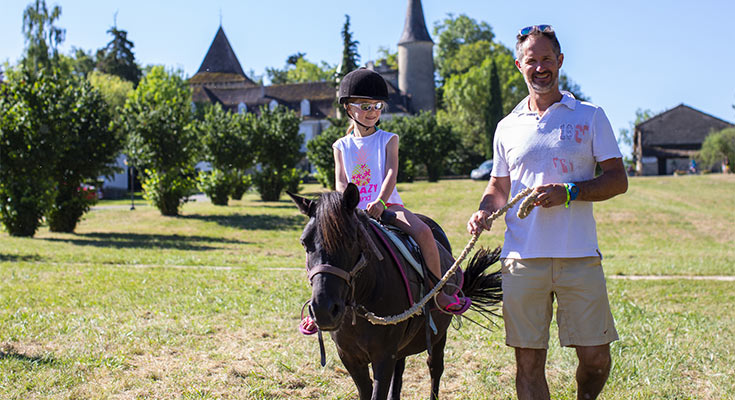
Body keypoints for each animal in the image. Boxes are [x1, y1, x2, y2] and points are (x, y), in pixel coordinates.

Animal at [290, 184, 504, 400]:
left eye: (350, 241)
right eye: (304, 242)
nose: (324, 310)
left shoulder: (384, 356)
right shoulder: (349, 357)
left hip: (438, 337)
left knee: (435, 369)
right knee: (399, 374)